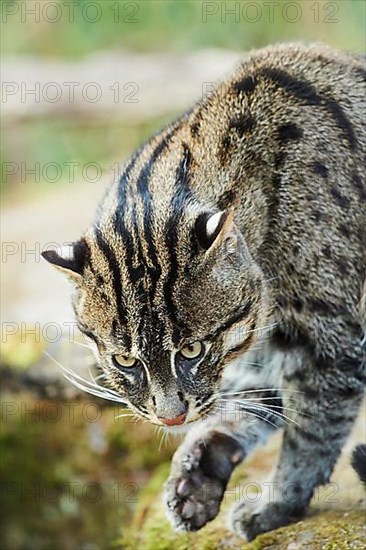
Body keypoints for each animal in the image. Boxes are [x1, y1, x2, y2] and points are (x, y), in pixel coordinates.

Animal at [41, 44, 364, 544]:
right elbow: (251, 399)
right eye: (125, 360)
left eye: (192, 349)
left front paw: (278, 504)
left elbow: (312, 428)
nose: (171, 418)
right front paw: (199, 465)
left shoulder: (329, 336)